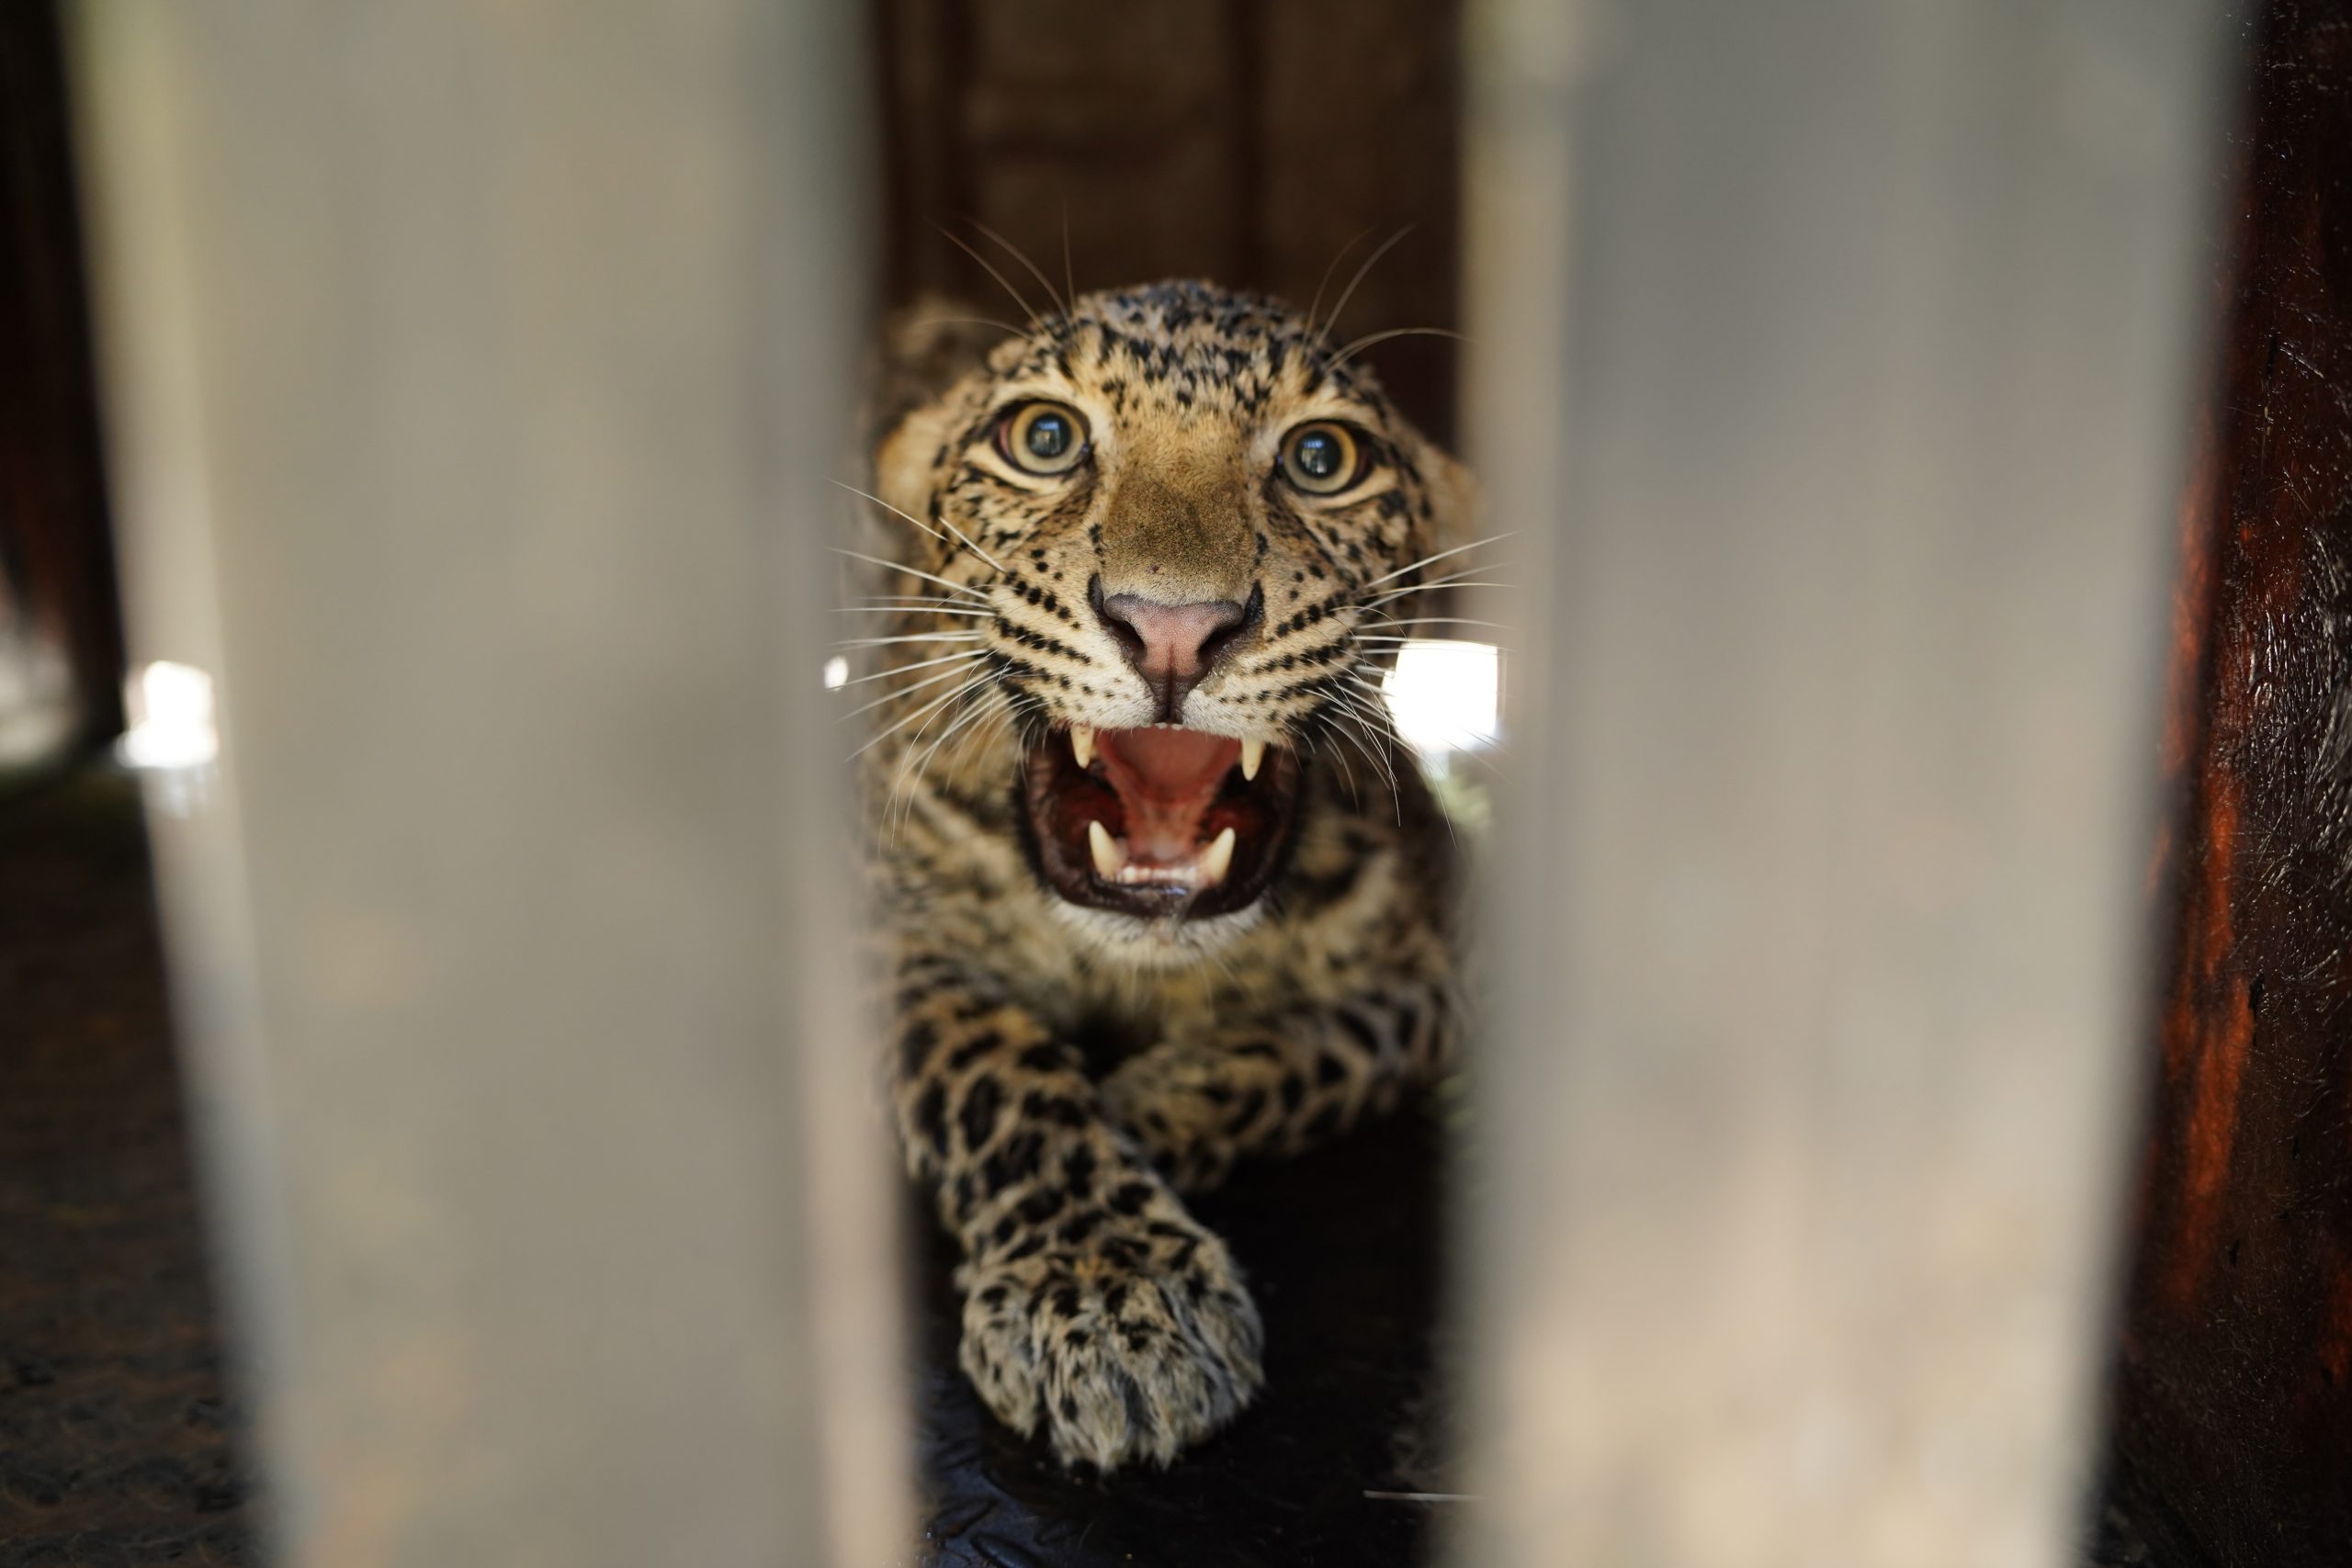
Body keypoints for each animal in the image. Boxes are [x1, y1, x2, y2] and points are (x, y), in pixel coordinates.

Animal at [854, 277, 1476, 1471]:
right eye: (1044, 439)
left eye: (1322, 458)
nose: (1175, 630)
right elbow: (985, 1062)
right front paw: (1108, 1294)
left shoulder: (1451, 951)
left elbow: (1347, 1042)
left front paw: (1156, 1098)